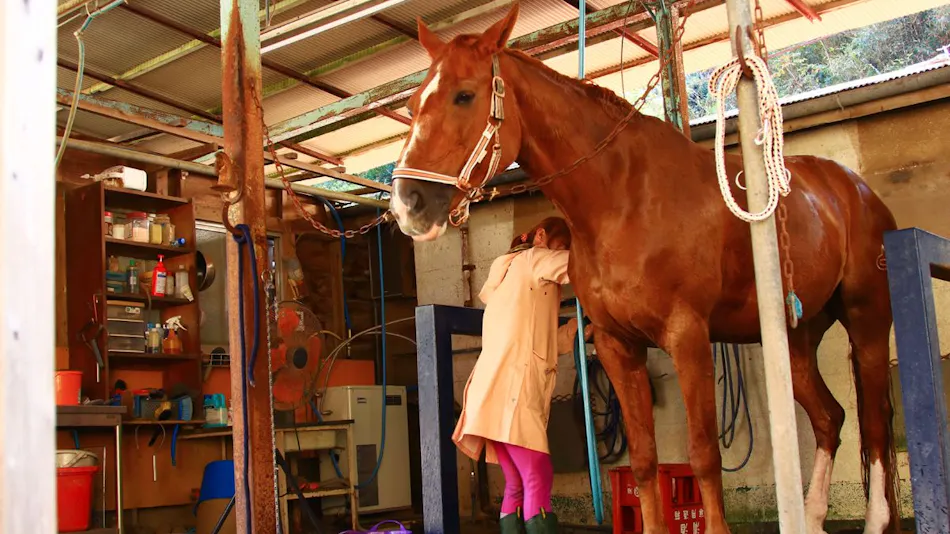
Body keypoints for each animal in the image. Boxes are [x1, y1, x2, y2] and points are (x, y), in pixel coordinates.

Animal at [388, 5, 900, 534]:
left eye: (464, 95)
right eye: (413, 104)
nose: (407, 204)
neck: (623, 198)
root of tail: (854, 188)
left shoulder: (688, 337)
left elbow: (703, 456)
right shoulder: (618, 347)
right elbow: (645, 462)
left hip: (868, 320)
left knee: (876, 426)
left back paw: (876, 520)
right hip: (795, 340)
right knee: (830, 419)